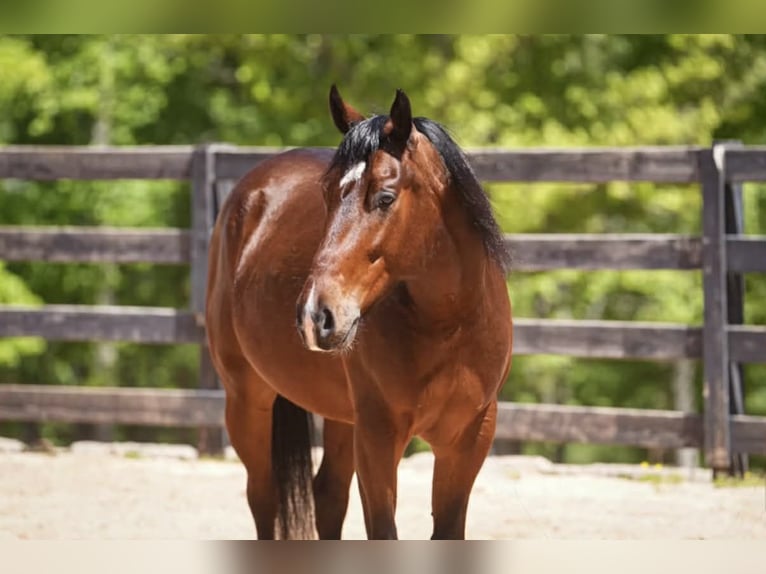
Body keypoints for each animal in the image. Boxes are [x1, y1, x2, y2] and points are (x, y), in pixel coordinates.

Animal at [205, 86, 513, 539]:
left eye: (384, 197)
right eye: (327, 196)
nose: (315, 314)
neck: (448, 324)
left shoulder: (469, 438)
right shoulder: (377, 436)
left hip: (340, 419)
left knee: (327, 498)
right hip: (247, 399)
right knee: (263, 498)